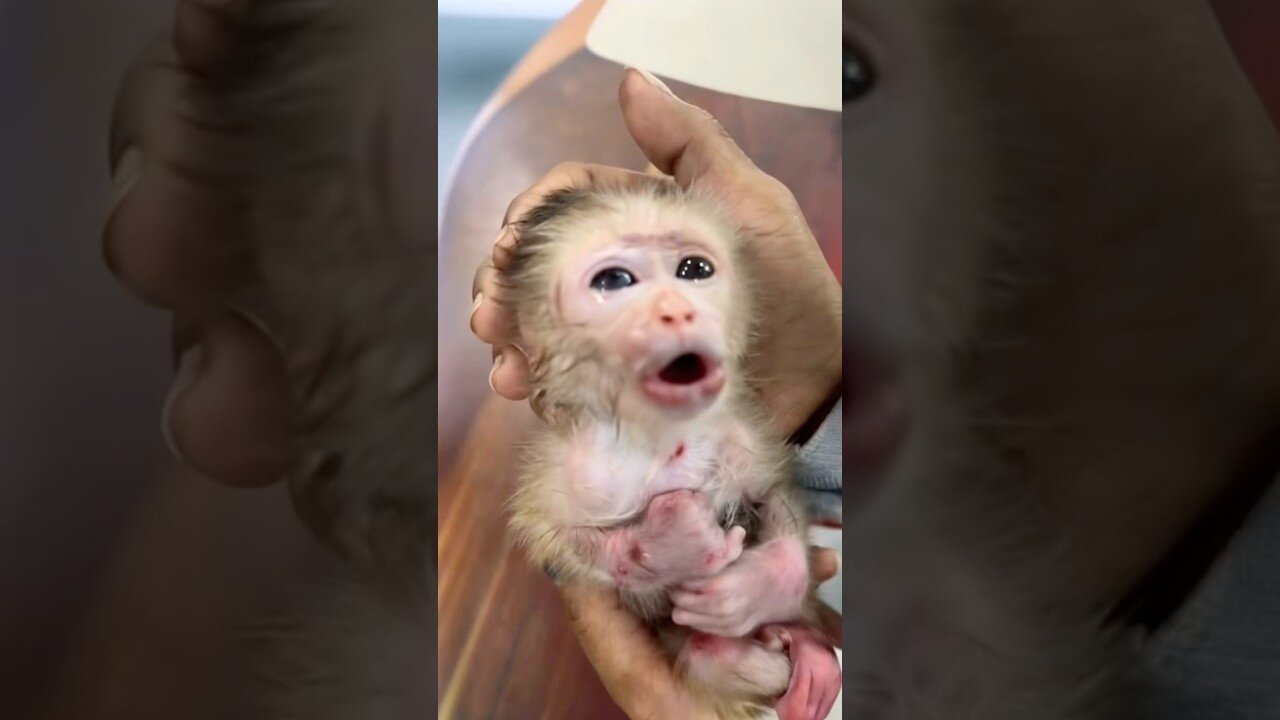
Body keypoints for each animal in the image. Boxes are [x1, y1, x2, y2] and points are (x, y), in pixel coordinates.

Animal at [498, 180, 842, 719]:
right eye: (614, 280)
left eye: (694, 270)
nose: (677, 310)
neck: (661, 440)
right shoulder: (572, 468)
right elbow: (557, 537)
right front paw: (666, 544)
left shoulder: (739, 435)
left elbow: (773, 493)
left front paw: (758, 587)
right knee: (707, 657)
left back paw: (808, 655)